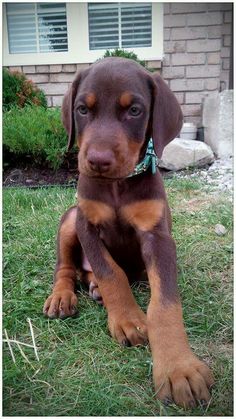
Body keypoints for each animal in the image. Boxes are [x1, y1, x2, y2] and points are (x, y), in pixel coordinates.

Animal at [42, 57, 214, 408]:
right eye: (82, 109)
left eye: (134, 110)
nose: (97, 160)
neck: (118, 186)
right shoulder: (87, 225)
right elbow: (111, 273)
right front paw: (127, 319)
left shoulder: (157, 237)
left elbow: (164, 303)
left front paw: (179, 368)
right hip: (70, 217)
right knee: (66, 268)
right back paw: (62, 296)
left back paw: (92, 287)